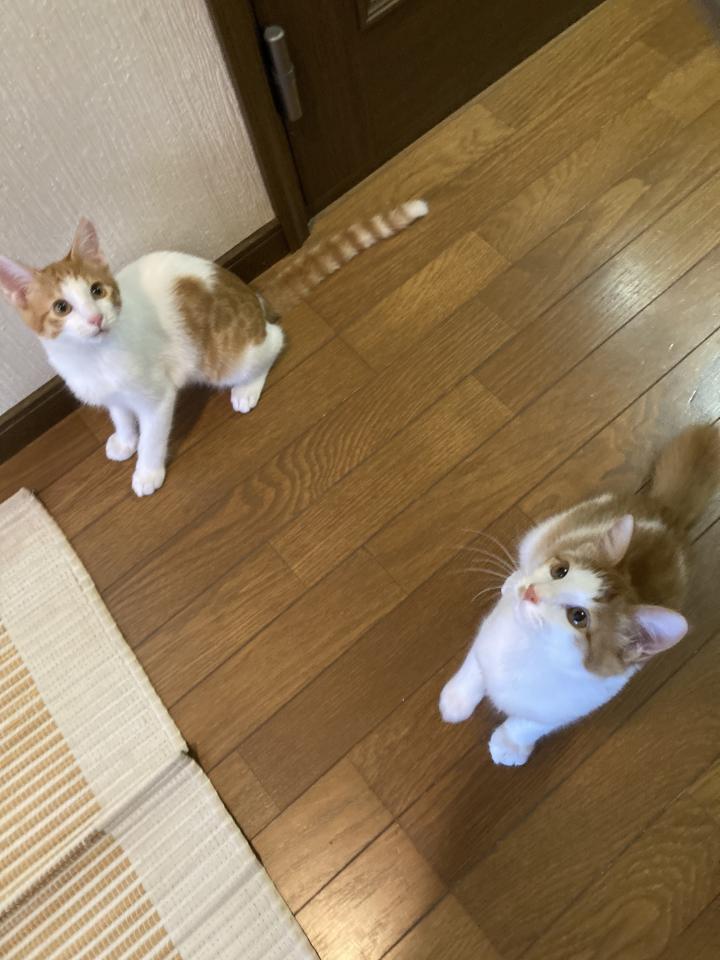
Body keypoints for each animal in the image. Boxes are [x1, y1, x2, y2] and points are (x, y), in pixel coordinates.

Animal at [0, 200, 428, 496]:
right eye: (61, 308)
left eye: (96, 291)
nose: (95, 319)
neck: (94, 358)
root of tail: (251, 294)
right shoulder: (110, 394)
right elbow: (120, 414)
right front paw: (124, 440)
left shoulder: (157, 395)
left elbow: (153, 434)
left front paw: (147, 470)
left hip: (223, 356)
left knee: (274, 340)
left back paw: (247, 387)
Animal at [439, 424, 720, 766]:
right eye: (560, 571)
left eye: (578, 616)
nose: (532, 592)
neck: (530, 652)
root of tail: (669, 516)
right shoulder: (490, 634)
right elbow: (476, 666)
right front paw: (456, 699)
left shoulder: (582, 700)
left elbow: (532, 723)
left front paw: (510, 743)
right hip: (547, 531)